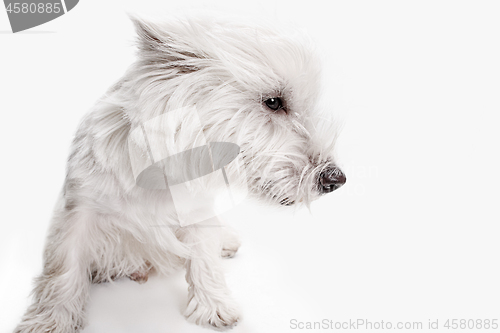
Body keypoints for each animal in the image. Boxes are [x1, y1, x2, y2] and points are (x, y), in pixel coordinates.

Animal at [14, 16, 344, 332]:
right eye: (274, 102)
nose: (336, 180)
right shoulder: (78, 211)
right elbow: (63, 269)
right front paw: (50, 320)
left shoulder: (196, 213)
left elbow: (205, 261)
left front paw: (214, 306)